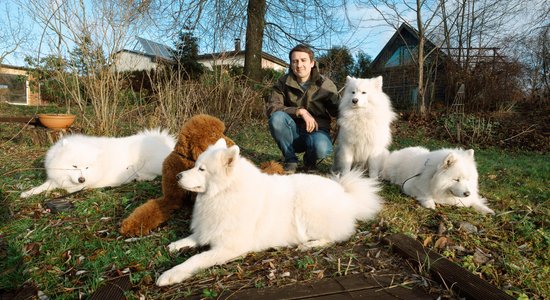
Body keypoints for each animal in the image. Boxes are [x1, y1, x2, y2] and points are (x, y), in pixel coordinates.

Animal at [20, 127, 176, 198]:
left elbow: (64, 189)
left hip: (148, 163)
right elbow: (44, 186)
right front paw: (28, 192)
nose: (82, 179)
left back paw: (140, 177)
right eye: (74, 166)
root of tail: (164, 142)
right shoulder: (56, 177)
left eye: (87, 167)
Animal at [155, 138, 384, 286]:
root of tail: (346, 194)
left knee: (336, 236)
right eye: (195, 165)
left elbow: (196, 259)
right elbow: (194, 237)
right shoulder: (210, 228)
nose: (177, 176)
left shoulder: (229, 247)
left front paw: (171, 274)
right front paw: (177, 244)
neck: (225, 193)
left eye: (201, 169)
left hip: (308, 209)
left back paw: (309, 245)